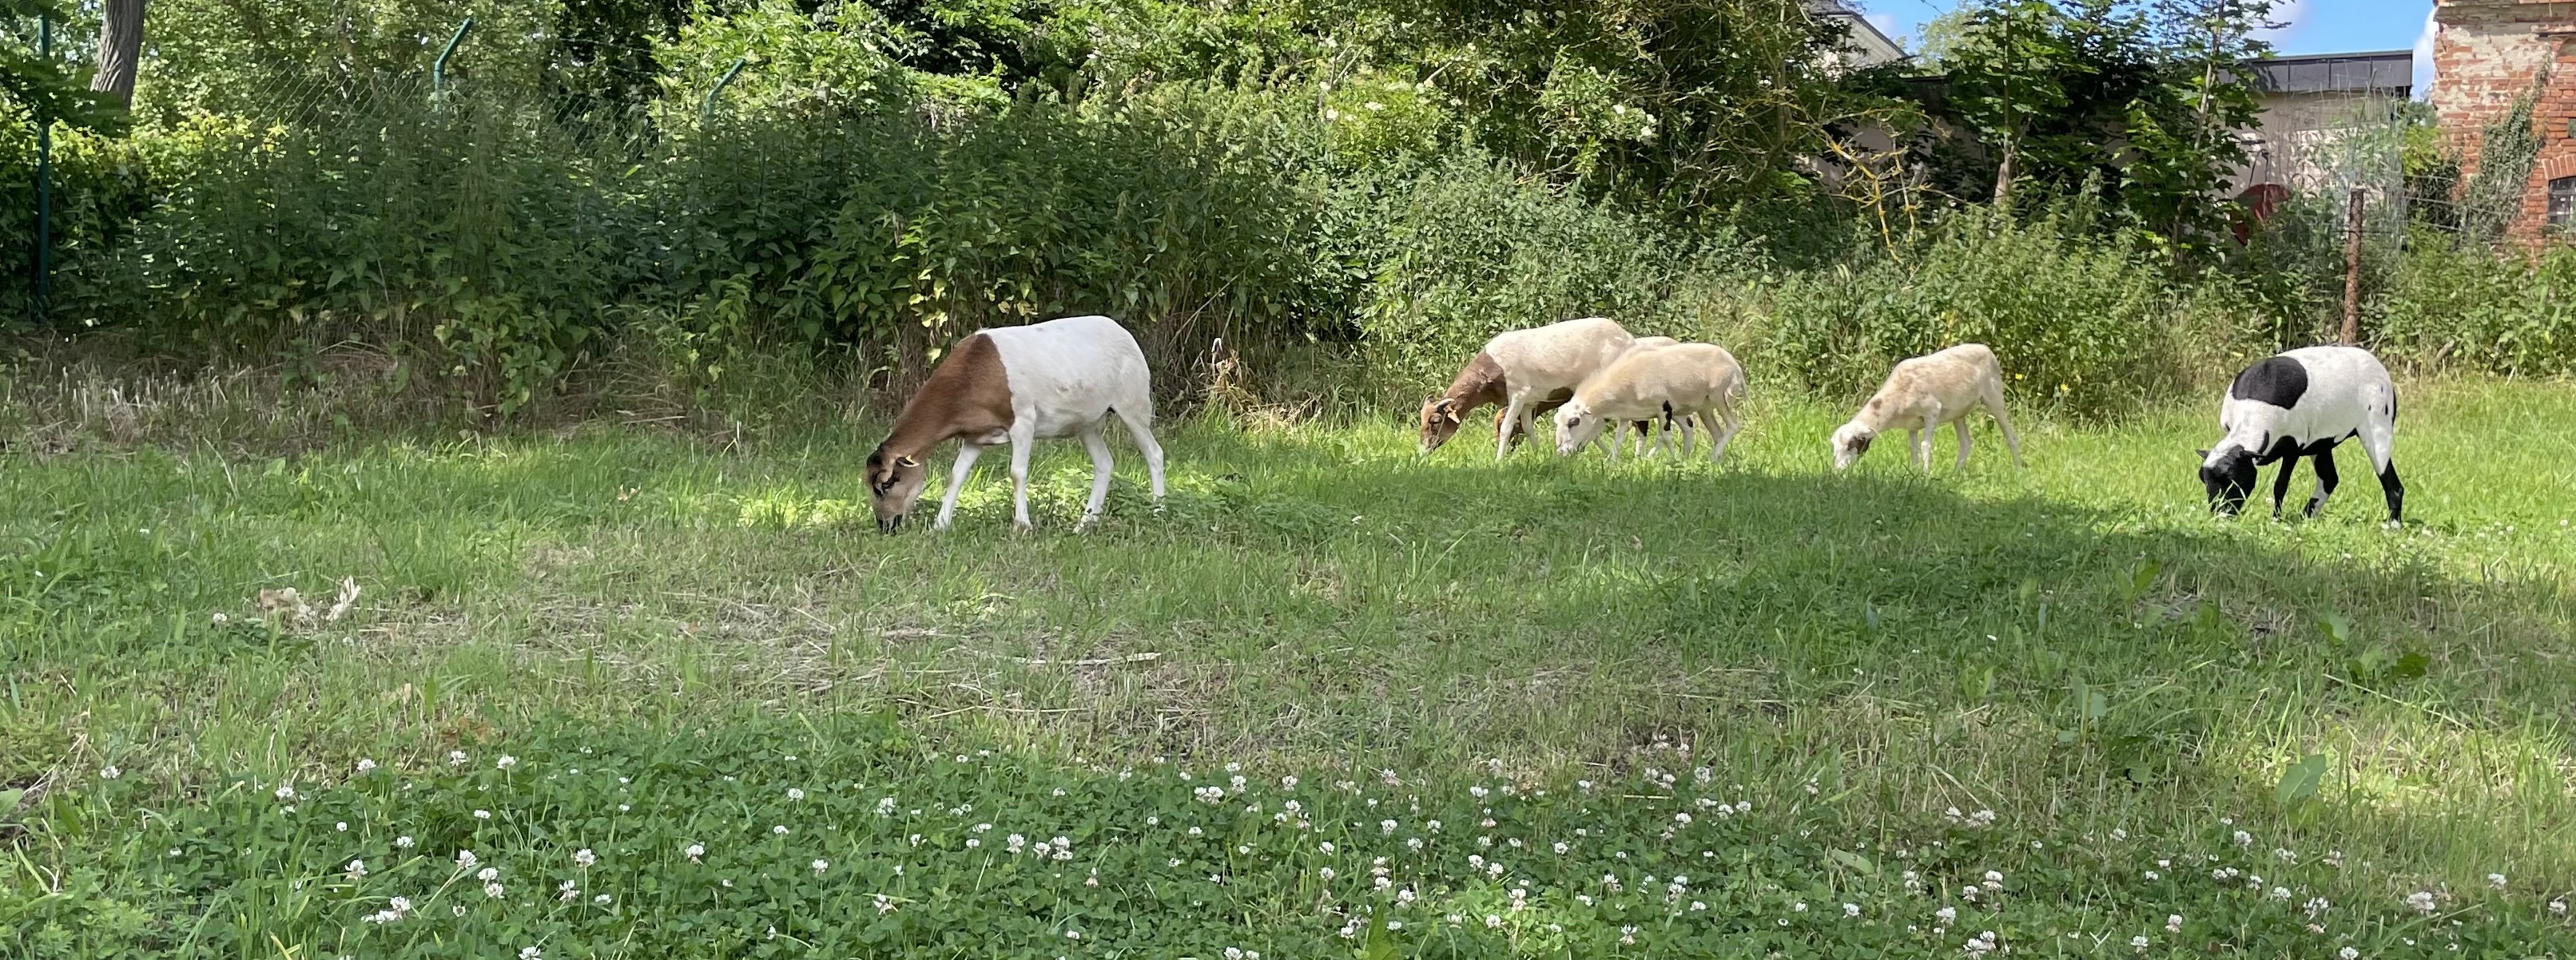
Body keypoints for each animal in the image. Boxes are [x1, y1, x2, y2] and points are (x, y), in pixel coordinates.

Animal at [863, 315, 1166, 532]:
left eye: (886, 485)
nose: (885, 526)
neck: (970, 376)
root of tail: (1125, 333)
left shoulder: (1023, 423)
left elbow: (1017, 472)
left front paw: (1022, 525)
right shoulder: (975, 435)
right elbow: (956, 475)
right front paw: (941, 524)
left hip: (1133, 403)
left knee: (1154, 453)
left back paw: (1158, 510)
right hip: (1087, 423)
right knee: (1105, 463)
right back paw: (1084, 524)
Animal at [1418, 317, 1635, 460]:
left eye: (1435, 421)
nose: (1423, 451)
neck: (1491, 369)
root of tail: (1628, 339)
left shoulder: (1518, 394)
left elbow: (1507, 427)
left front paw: (1499, 461)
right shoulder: (1530, 401)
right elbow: (1528, 428)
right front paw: (1538, 454)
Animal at [1551, 342, 1747, 463]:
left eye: (1574, 422)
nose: (1561, 452)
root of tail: (1734, 365)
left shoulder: (1664, 408)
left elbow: (1664, 437)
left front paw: (1668, 459)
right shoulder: (1630, 414)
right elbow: (1620, 439)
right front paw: (1617, 461)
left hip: (1719, 396)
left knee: (1733, 426)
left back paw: (1711, 457)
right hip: (1705, 408)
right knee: (1716, 434)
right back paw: (1710, 458)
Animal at [1829, 344, 2024, 473]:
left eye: (1851, 445)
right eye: (1835, 449)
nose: (1838, 471)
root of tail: (1986, 349)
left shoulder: (1932, 411)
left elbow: (1924, 446)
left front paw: (1925, 474)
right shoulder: (1912, 425)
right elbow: (1913, 448)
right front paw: (1914, 473)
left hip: (1994, 398)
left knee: (2011, 437)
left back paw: (2018, 470)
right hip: (1958, 413)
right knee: (1966, 443)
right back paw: (1956, 474)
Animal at [2198, 345, 2402, 525]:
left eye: (2231, 479)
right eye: (2204, 480)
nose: (2220, 514)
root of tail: (2377, 365)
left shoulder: (2293, 447)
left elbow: (2280, 485)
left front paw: (2275, 520)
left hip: (2377, 428)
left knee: (2392, 484)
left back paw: (2393, 525)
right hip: (2321, 443)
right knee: (2329, 480)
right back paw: (2306, 517)